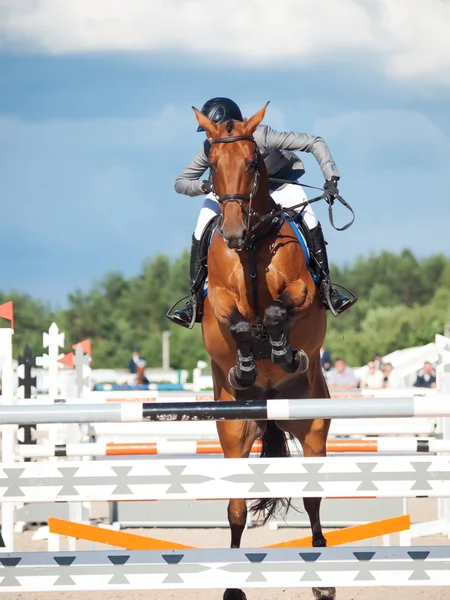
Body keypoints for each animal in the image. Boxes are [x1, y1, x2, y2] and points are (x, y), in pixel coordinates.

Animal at [195, 104, 336, 600]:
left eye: (253, 162)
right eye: (212, 165)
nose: (234, 232)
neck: (253, 245)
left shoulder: (302, 289)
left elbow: (277, 311)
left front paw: (283, 351)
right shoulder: (218, 297)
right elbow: (236, 320)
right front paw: (244, 364)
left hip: (313, 425)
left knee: (313, 499)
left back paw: (324, 582)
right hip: (234, 431)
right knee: (236, 509)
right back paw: (234, 587)